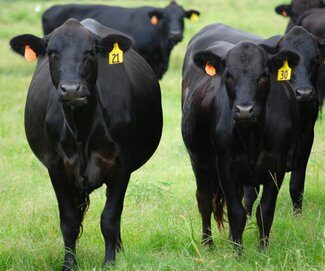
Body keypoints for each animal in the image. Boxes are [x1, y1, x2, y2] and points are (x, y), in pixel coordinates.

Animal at [9, 18, 162, 270]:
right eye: (52, 52)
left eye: (90, 52)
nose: (71, 89)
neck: (83, 129)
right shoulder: (55, 166)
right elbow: (69, 221)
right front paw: (69, 264)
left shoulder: (122, 165)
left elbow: (110, 218)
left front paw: (110, 262)